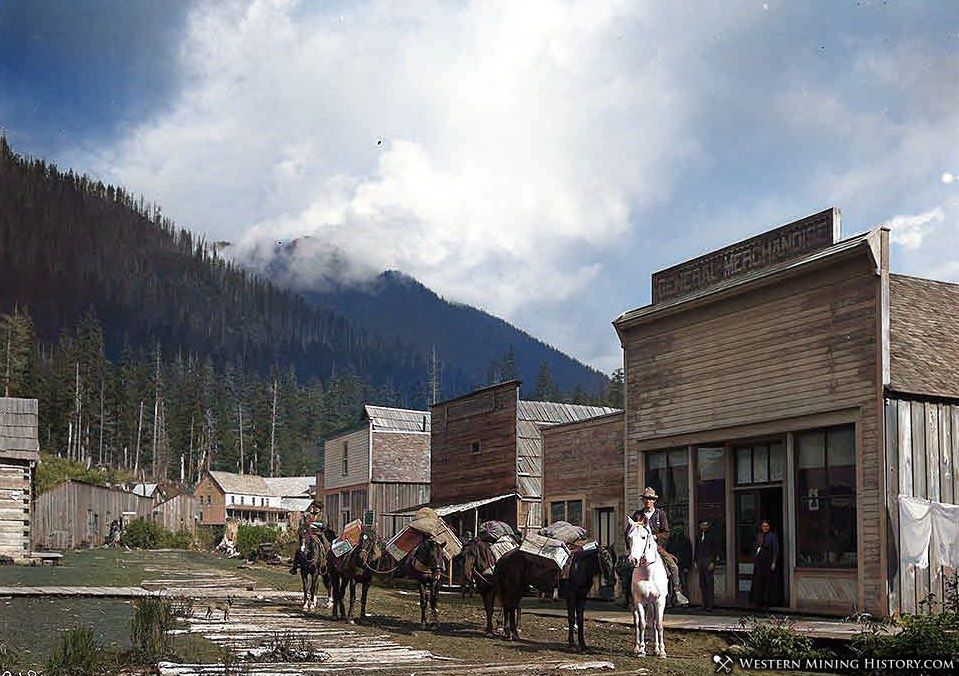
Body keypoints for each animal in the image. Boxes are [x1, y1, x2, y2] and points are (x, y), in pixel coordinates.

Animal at [632, 516, 668, 656]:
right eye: (629, 537)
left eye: (643, 537)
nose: (633, 560)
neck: (648, 574)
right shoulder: (639, 600)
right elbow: (642, 624)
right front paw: (642, 650)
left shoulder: (660, 600)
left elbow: (658, 624)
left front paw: (662, 651)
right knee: (637, 622)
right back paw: (637, 647)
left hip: (652, 603)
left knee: (653, 622)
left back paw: (657, 649)